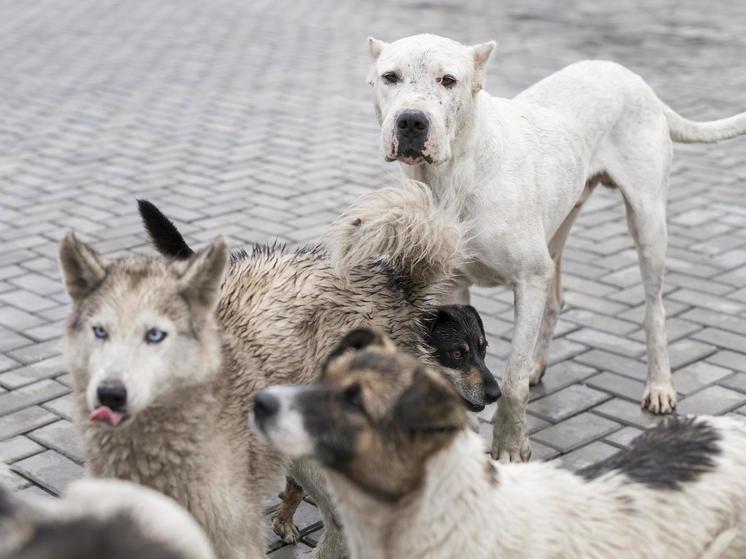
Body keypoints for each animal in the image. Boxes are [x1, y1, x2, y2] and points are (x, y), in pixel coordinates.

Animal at [364, 34, 744, 464]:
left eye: (448, 80)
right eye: (390, 77)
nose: (412, 121)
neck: (455, 176)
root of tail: (636, 80)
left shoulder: (530, 277)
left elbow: (511, 379)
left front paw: (510, 445)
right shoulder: (454, 286)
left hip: (647, 222)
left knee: (655, 309)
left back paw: (659, 385)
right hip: (558, 229)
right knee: (555, 299)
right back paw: (538, 362)